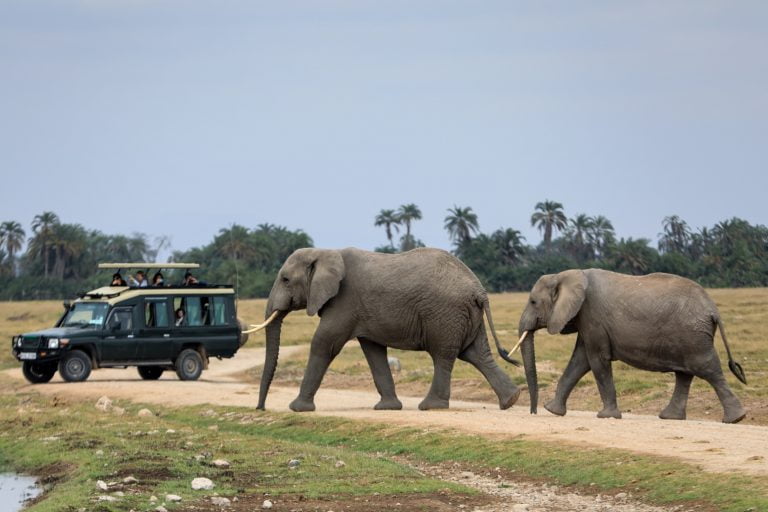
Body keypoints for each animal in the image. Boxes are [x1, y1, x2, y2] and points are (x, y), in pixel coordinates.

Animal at [255, 247, 520, 412]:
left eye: (285, 280)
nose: (261, 407)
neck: (325, 251)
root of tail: (479, 290)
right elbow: (373, 351)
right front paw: (388, 408)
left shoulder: (345, 302)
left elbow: (324, 343)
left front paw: (297, 408)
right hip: (466, 315)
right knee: (477, 354)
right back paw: (510, 400)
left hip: (445, 314)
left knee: (443, 355)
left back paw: (430, 406)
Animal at [512, 268, 748, 424]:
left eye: (533, 302)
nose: (533, 411)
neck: (567, 275)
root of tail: (713, 309)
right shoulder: (586, 320)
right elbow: (580, 361)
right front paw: (553, 411)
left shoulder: (592, 316)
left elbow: (597, 360)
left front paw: (606, 416)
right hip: (688, 337)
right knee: (685, 374)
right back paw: (670, 417)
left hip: (693, 336)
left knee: (708, 369)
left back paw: (736, 418)